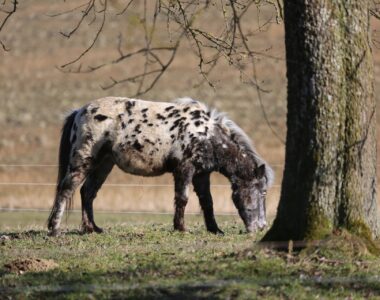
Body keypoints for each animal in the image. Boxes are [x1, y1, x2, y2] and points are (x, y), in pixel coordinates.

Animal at [46, 97, 274, 236]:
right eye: (262, 192)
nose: (262, 226)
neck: (206, 135)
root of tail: (79, 111)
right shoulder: (184, 169)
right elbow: (182, 199)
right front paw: (181, 228)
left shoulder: (201, 174)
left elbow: (207, 202)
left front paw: (214, 229)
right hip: (84, 161)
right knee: (66, 189)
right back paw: (55, 229)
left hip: (104, 164)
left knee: (88, 192)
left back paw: (91, 228)